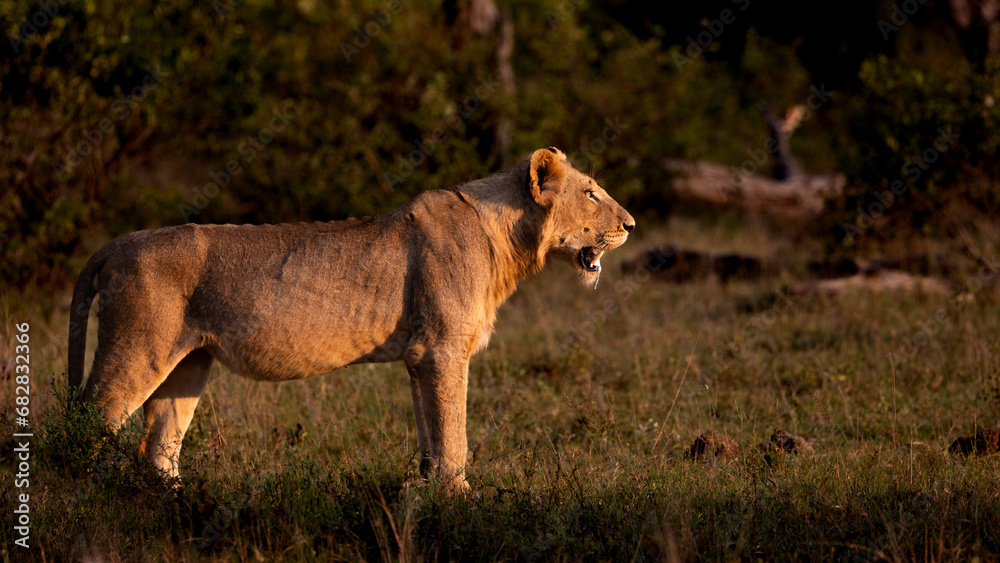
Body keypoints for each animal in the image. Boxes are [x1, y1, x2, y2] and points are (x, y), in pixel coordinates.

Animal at [68, 147, 635, 489]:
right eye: (590, 192)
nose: (630, 225)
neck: (508, 240)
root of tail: (114, 245)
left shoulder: (420, 356)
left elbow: (430, 432)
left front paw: (427, 492)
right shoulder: (445, 349)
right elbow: (454, 433)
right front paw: (461, 498)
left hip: (187, 363)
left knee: (158, 444)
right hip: (137, 351)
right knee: (87, 420)